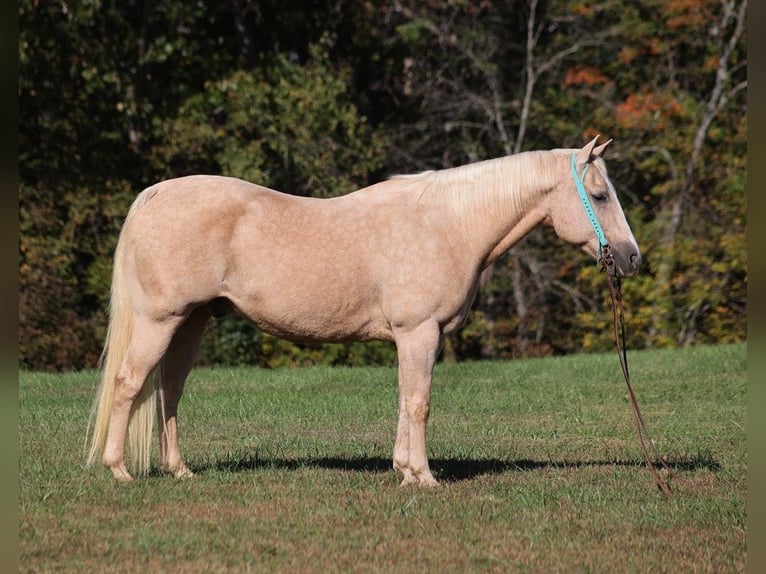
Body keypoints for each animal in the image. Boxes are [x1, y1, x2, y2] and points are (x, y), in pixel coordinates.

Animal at [86, 136, 640, 486]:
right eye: (598, 194)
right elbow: (419, 402)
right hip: (161, 321)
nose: (631, 258)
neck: (449, 225)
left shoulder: (414, 337)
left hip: (192, 322)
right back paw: (119, 470)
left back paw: (180, 470)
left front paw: (403, 470)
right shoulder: (419, 332)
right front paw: (424, 477)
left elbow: (404, 399)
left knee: (169, 391)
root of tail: (155, 193)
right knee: (131, 383)